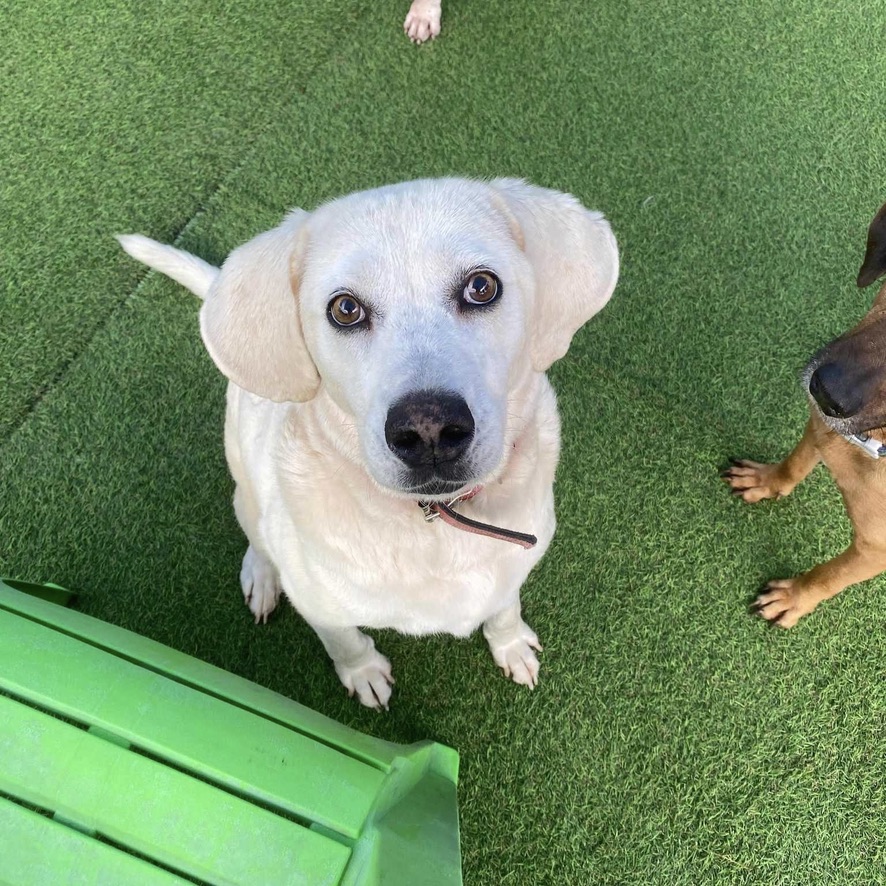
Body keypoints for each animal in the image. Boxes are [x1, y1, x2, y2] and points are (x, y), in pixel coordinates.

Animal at [118, 179, 620, 708]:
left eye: (481, 287)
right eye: (346, 309)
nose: (428, 429)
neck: (434, 527)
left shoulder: (513, 566)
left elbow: (504, 608)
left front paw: (510, 644)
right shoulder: (320, 605)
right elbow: (345, 640)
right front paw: (363, 675)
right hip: (245, 482)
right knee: (255, 532)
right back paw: (262, 575)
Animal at [724, 204, 886, 628]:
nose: (827, 393)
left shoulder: (874, 549)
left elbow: (828, 576)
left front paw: (793, 598)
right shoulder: (821, 430)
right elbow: (795, 464)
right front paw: (766, 481)